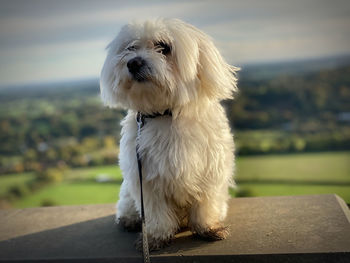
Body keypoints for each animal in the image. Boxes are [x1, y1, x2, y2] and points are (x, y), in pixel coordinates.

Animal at [100, 19, 239, 252]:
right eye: (130, 47)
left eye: (163, 47)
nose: (133, 63)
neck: (166, 114)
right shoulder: (146, 179)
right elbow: (157, 213)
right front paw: (156, 237)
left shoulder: (209, 171)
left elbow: (205, 205)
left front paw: (208, 228)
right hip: (128, 193)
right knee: (127, 206)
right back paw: (130, 220)